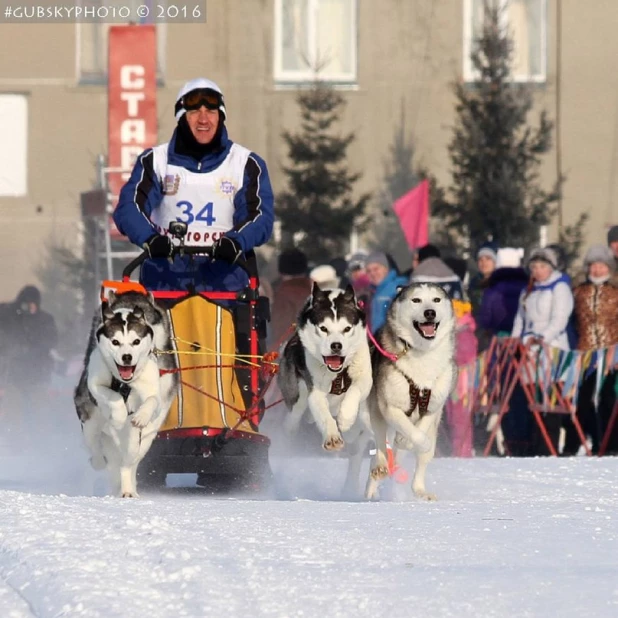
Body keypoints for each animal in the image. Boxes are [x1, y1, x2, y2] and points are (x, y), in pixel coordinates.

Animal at [74, 290, 178, 496]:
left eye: (137, 339)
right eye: (115, 341)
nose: (127, 357)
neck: (126, 384)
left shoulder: (155, 394)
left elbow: (152, 401)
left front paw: (140, 415)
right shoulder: (93, 390)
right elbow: (110, 397)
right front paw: (119, 414)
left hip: (144, 437)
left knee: (129, 460)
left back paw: (128, 489)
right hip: (91, 423)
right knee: (98, 449)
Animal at [278, 286, 370, 496]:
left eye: (347, 328)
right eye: (324, 328)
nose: (336, 346)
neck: (337, 373)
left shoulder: (364, 377)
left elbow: (355, 390)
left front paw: (346, 417)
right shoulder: (315, 391)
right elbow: (324, 415)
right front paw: (332, 437)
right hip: (295, 393)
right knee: (296, 413)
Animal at [364, 284, 454, 500]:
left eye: (436, 300)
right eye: (416, 300)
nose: (430, 312)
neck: (422, 353)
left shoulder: (433, 408)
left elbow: (420, 432)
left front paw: (405, 441)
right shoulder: (390, 408)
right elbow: (416, 437)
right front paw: (407, 440)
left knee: (419, 462)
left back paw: (420, 489)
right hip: (377, 416)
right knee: (381, 447)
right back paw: (377, 476)